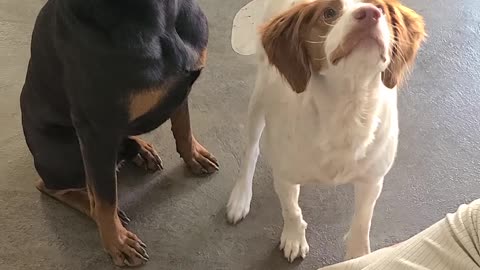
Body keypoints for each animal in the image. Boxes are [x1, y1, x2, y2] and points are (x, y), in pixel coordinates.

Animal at [20, 0, 218, 266]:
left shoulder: (180, 86)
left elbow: (183, 125)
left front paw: (194, 156)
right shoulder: (96, 130)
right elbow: (105, 198)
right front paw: (118, 242)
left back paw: (141, 150)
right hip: (66, 155)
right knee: (53, 186)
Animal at [227, 0, 426, 262]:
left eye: (380, 8)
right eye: (329, 13)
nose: (370, 14)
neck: (346, 106)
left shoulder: (372, 179)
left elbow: (362, 221)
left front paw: (359, 255)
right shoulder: (284, 176)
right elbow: (292, 210)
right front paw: (294, 237)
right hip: (259, 97)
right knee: (250, 150)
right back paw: (240, 197)